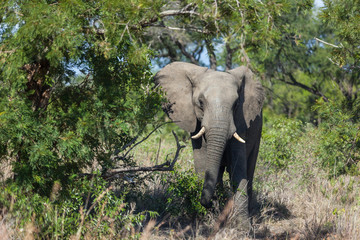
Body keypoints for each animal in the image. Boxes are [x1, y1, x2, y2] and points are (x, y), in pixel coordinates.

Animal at [155, 61, 264, 229]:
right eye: (200, 102)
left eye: (236, 104)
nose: (206, 203)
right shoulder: (196, 123)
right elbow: (202, 162)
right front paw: (208, 219)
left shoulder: (241, 121)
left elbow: (238, 168)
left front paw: (244, 228)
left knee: (250, 170)